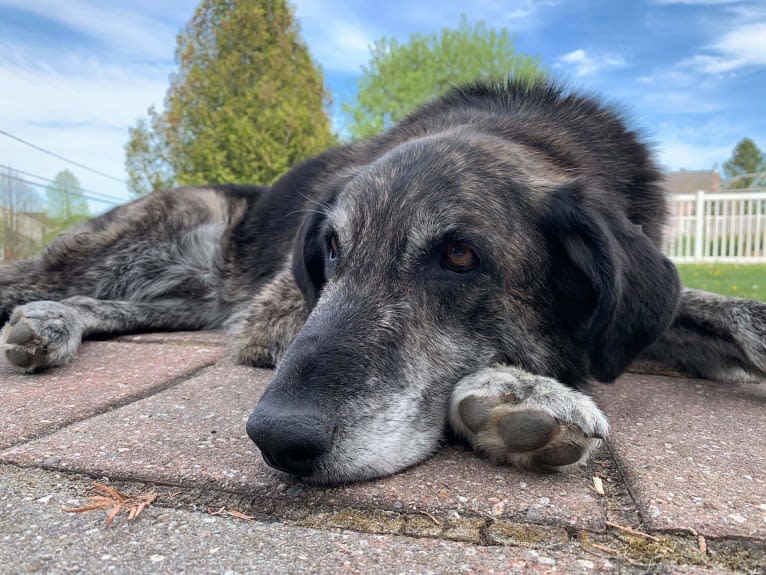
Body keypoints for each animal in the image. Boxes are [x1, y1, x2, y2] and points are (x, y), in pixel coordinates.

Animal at [1, 79, 766, 484]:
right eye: (332, 251)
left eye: (459, 256)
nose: (277, 438)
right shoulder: (274, 319)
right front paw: (516, 390)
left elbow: (708, 307)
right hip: (158, 233)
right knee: (31, 277)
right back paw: (39, 313)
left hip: (195, 302)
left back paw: (52, 323)